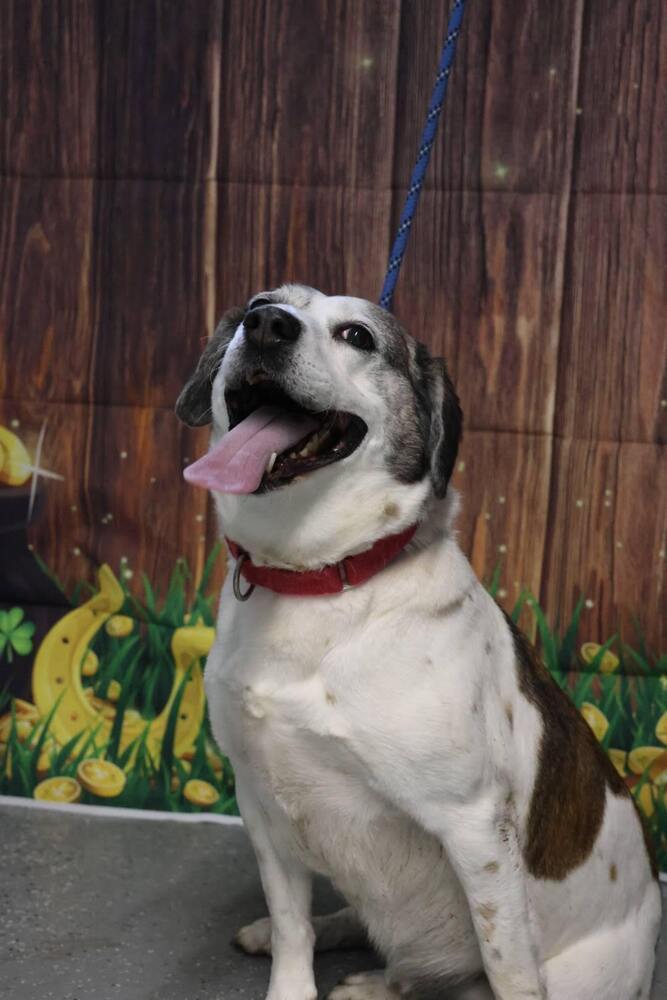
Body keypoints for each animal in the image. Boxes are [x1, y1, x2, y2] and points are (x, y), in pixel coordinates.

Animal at [175, 286, 660, 1000]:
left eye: (357, 335)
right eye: (256, 305)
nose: (265, 325)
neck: (321, 582)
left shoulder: (475, 826)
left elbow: (508, 969)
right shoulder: (260, 800)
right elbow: (293, 927)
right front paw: (289, 964)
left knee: (453, 982)